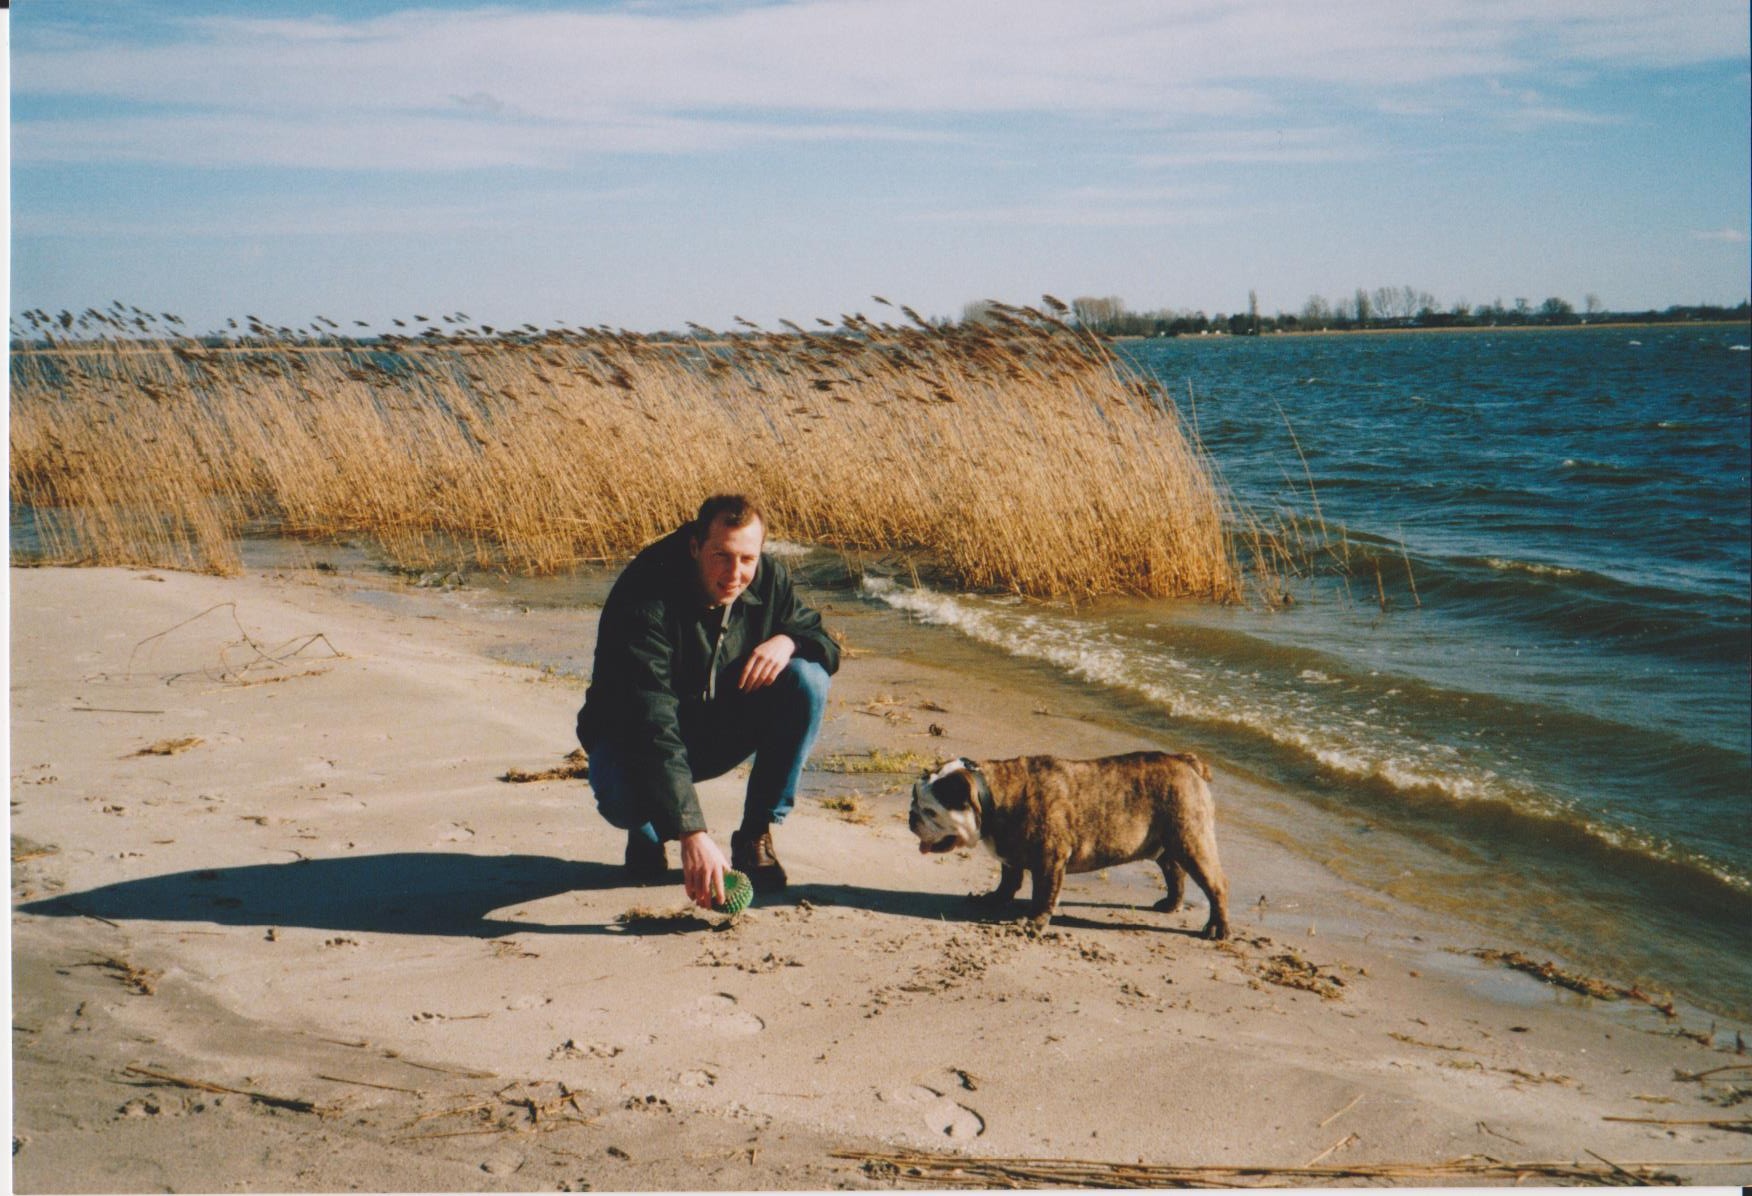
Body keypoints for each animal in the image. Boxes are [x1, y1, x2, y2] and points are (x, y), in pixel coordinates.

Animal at [909, 750, 1230, 938]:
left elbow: (1044, 894)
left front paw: (1034, 923)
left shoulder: (1050, 861)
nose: (912, 818)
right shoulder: (1011, 858)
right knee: (1175, 872)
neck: (995, 794)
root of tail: (1186, 761)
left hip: (1192, 841)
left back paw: (1217, 927)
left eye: (930, 810)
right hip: (1168, 845)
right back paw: (1171, 904)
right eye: (915, 800)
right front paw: (994, 899)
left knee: (1216, 885)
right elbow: (1008, 881)